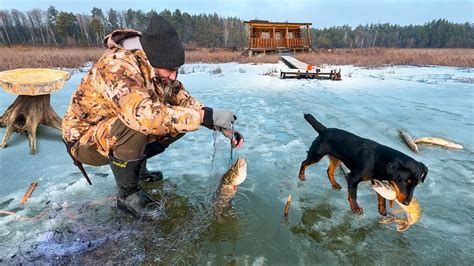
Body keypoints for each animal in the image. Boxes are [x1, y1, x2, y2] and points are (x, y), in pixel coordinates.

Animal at [298, 113, 428, 215]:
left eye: (416, 184)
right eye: (406, 182)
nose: (407, 203)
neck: (381, 160)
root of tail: (324, 130)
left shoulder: (377, 180)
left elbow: (381, 196)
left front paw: (382, 210)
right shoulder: (353, 177)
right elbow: (353, 194)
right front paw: (355, 208)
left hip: (336, 158)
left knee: (329, 170)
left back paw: (335, 184)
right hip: (317, 154)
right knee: (304, 163)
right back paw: (301, 176)